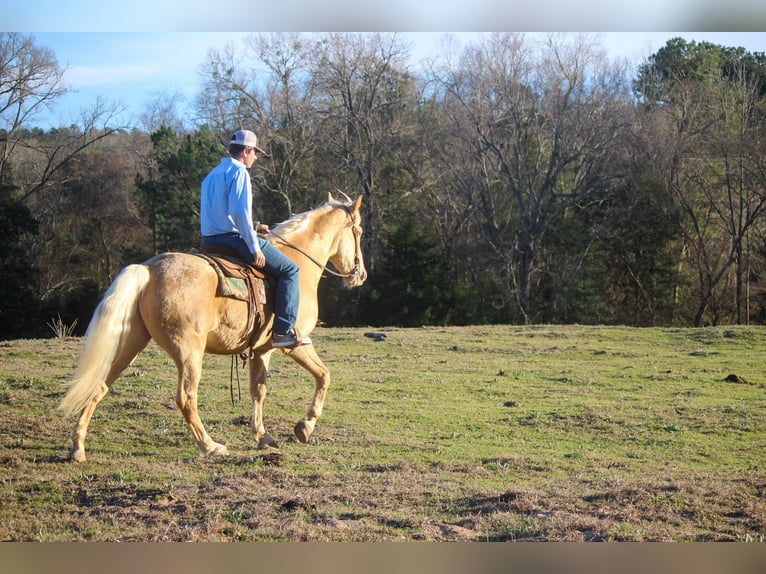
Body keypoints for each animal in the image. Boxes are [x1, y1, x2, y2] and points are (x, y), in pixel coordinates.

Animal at [57, 194, 368, 464]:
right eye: (359, 231)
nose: (361, 274)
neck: (299, 265)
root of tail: (149, 270)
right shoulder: (294, 343)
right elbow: (324, 375)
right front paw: (305, 425)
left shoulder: (261, 350)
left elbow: (259, 390)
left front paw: (263, 437)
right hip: (189, 353)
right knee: (186, 398)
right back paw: (210, 446)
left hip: (129, 345)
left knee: (99, 385)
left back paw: (78, 447)